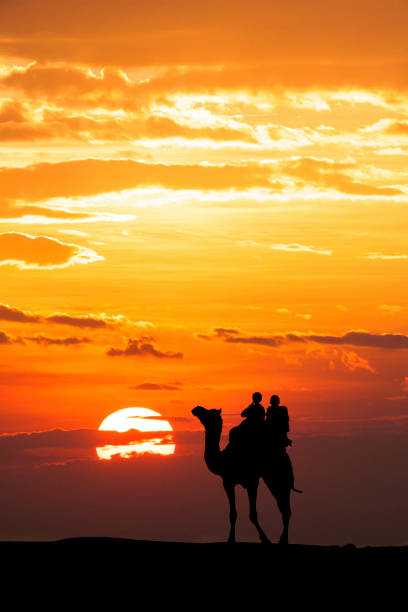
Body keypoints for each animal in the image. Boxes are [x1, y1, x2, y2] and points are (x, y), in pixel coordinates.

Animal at [191, 406, 300, 544]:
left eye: (209, 413)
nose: (196, 409)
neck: (224, 459)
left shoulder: (252, 481)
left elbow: (252, 514)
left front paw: (265, 539)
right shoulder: (228, 482)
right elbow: (233, 514)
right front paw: (231, 539)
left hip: (280, 475)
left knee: (285, 508)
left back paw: (283, 539)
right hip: (271, 479)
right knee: (284, 507)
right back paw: (283, 538)